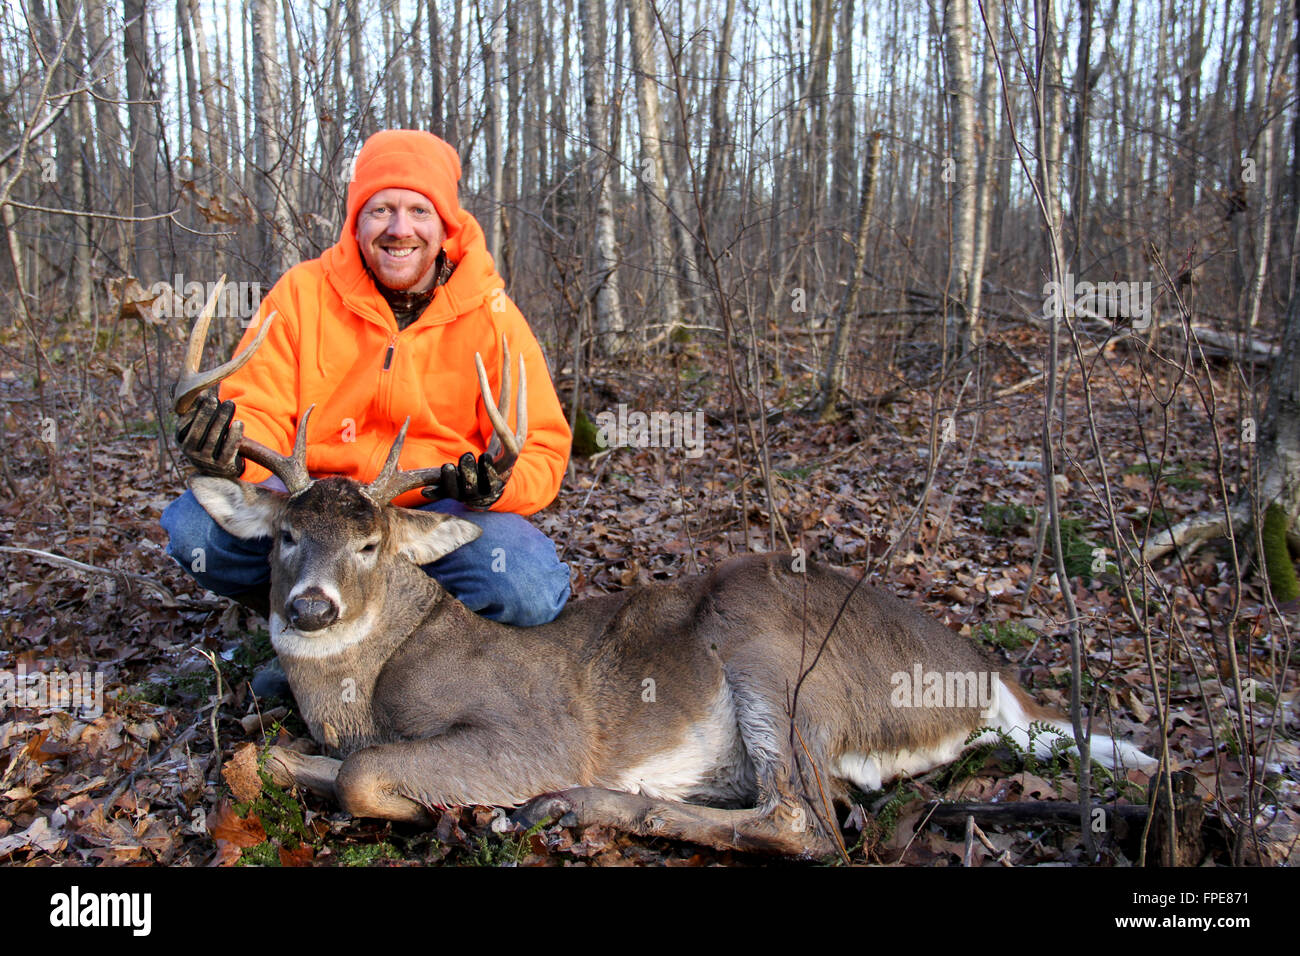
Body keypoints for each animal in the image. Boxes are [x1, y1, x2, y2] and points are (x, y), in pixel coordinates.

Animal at [172, 286, 1159, 858]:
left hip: (775, 651)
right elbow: (258, 760)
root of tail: (987, 677)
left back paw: (567, 807)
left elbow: (364, 775)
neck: (360, 694)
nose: (310, 607)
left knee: (805, 822)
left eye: (370, 543)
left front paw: (451, 810)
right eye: (285, 535)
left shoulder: (527, 732)